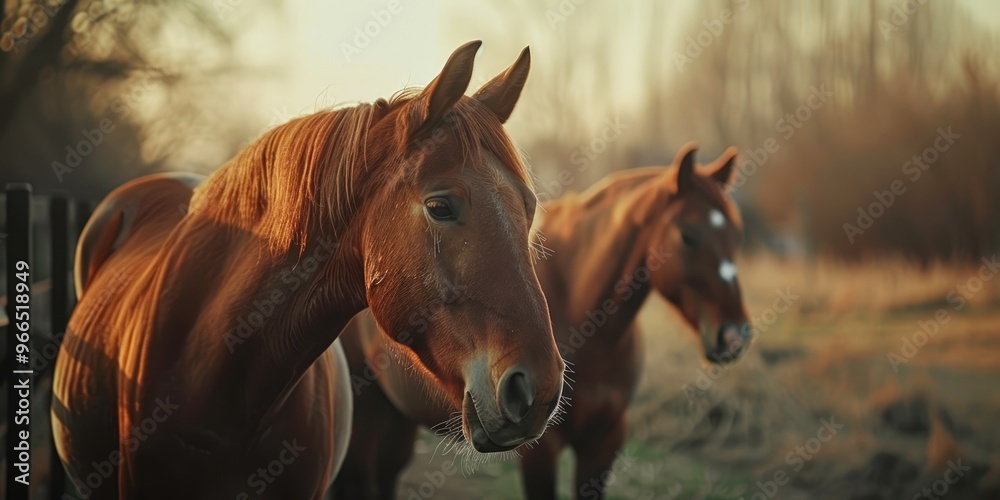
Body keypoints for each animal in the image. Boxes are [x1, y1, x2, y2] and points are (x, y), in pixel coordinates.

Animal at [336, 143, 751, 499]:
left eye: (736, 233)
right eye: (688, 236)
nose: (735, 336)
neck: (586, 322)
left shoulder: (605, 441)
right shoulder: (541, 449)